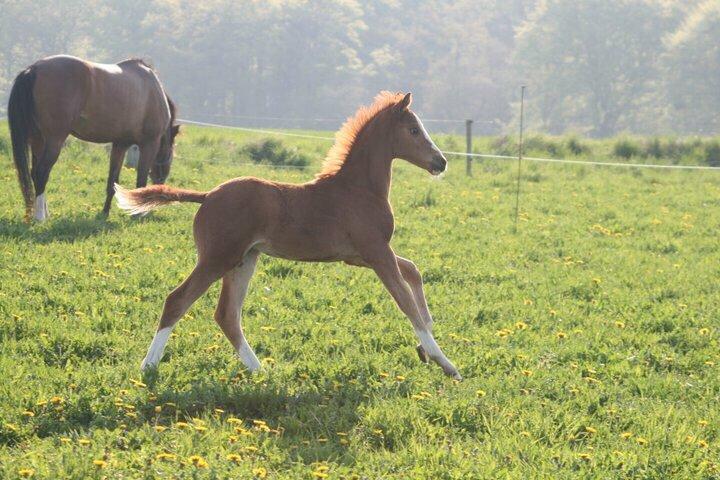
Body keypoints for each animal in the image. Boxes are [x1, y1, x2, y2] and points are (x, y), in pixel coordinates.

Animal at [7, 54, 179, 221]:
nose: (161, 184)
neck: (153, 90)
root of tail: (33, 69)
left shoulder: (120, 144)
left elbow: (112, 181)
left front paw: (105, 213)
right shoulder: (149, 144)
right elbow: (141, 181)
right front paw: (138, 214)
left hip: (38, 140)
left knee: (34, 173)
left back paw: (44, 213)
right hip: (54, 140)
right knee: (42, 172)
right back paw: (40, 217)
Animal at [114, 92, 462, 380]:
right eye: (414, 130)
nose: (441, 162)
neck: (358, 189)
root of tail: (207, 195)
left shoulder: (361, 256)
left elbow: (414, 272)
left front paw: (425, 350)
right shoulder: (376, 252)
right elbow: (406, 303)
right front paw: (445, 363)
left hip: (244, 260)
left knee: (227, 314)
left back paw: (260, 371)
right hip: (218, 258)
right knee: (178, 300)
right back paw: (149, 366)